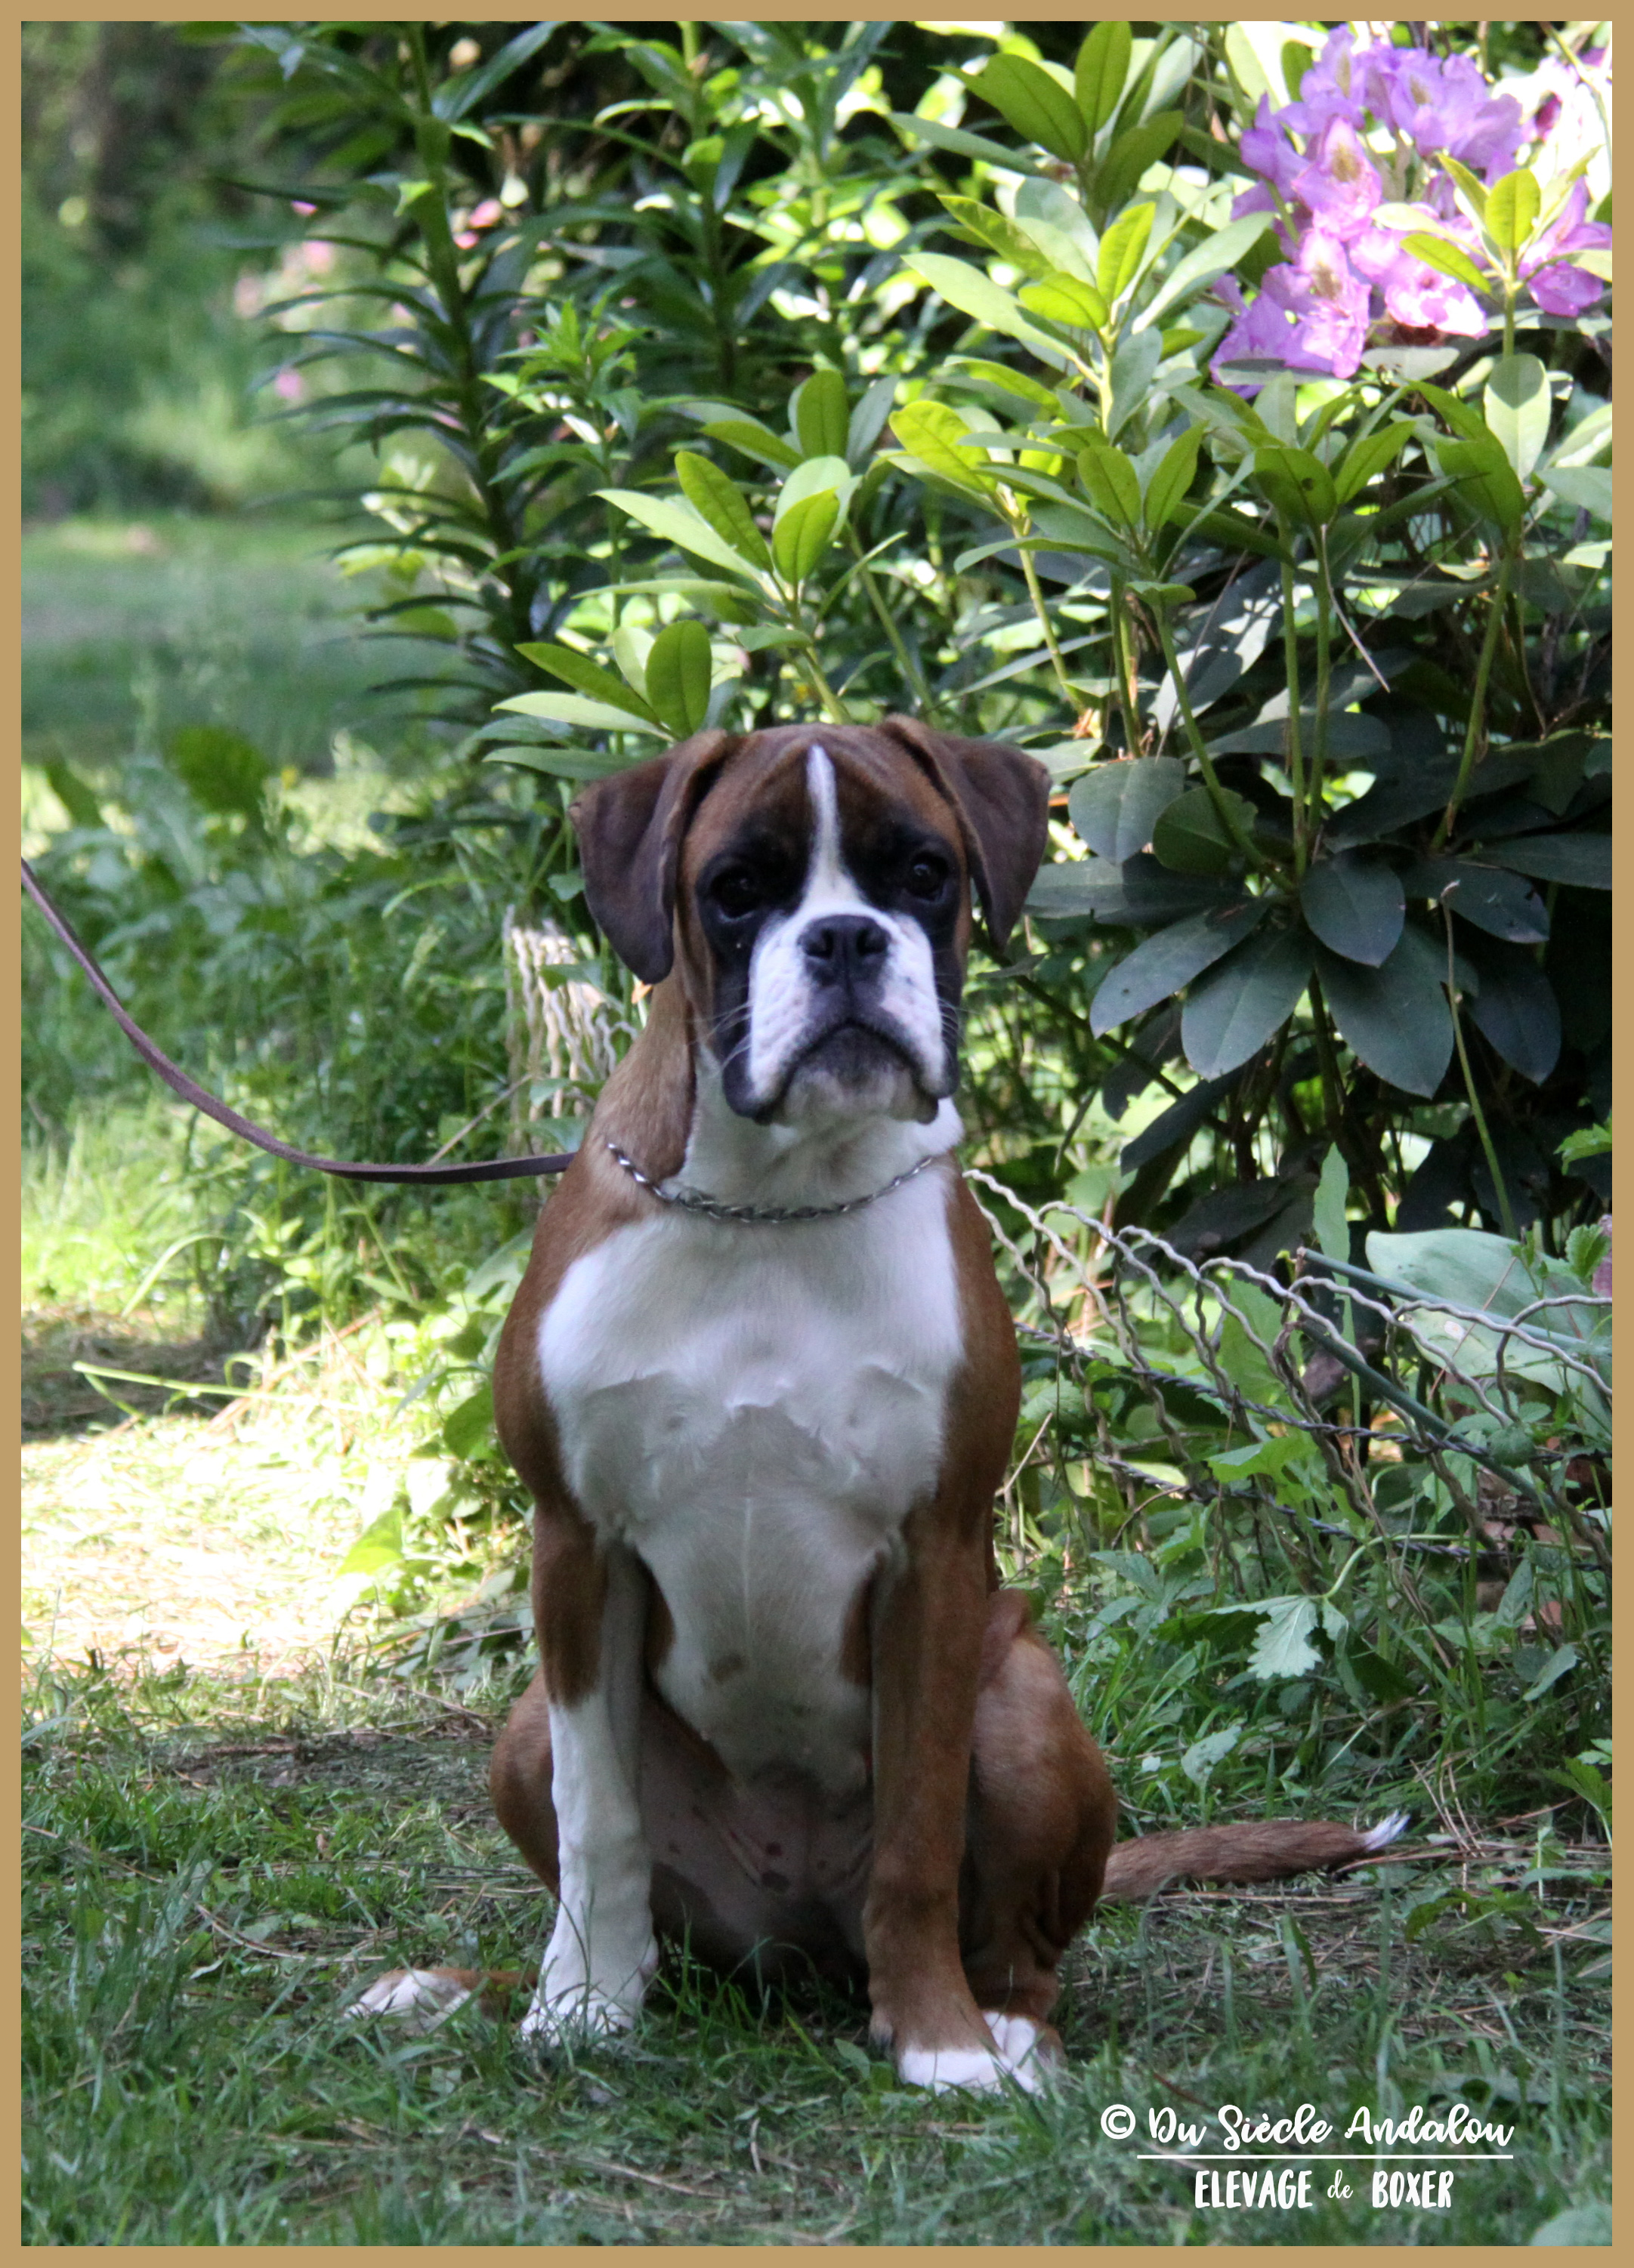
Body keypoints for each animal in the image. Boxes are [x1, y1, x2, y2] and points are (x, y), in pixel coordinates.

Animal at [353, 718, 1404, 2091]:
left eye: (921, 873)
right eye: (735, 888)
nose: (847, 938)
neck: (773, 1199)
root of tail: (795, 1942)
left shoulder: (933, 1558)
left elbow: (915, 1832)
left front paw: (939, 2042)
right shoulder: (577, 1548)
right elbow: (600, 1823)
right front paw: (576, 2004)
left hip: (1022, 1695)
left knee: (1018, 1944)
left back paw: (1002, 2024)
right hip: (524, 1726)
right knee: (651, 1916)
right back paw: (475, 1987)